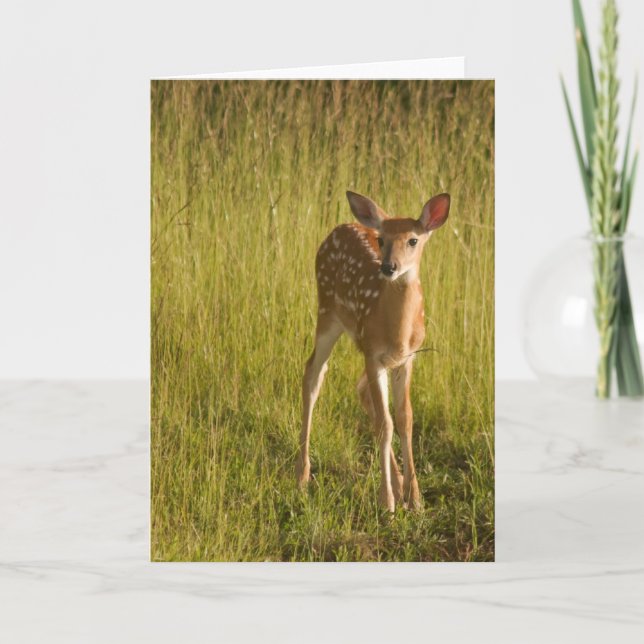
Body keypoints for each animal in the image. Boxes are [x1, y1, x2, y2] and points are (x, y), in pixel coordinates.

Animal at [296, 190, 450, 512]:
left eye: (413, 240)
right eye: (381, 239)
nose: (388, 267)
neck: (397, 334)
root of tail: (340, 227)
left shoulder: (407, 359)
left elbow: (404, 419)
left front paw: (415, 499)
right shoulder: (373, 354)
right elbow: (384, 424)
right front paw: (387, 502)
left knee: (361, 390)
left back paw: (400, 481)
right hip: (327, 313)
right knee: (313, 374)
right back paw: (302, 475)